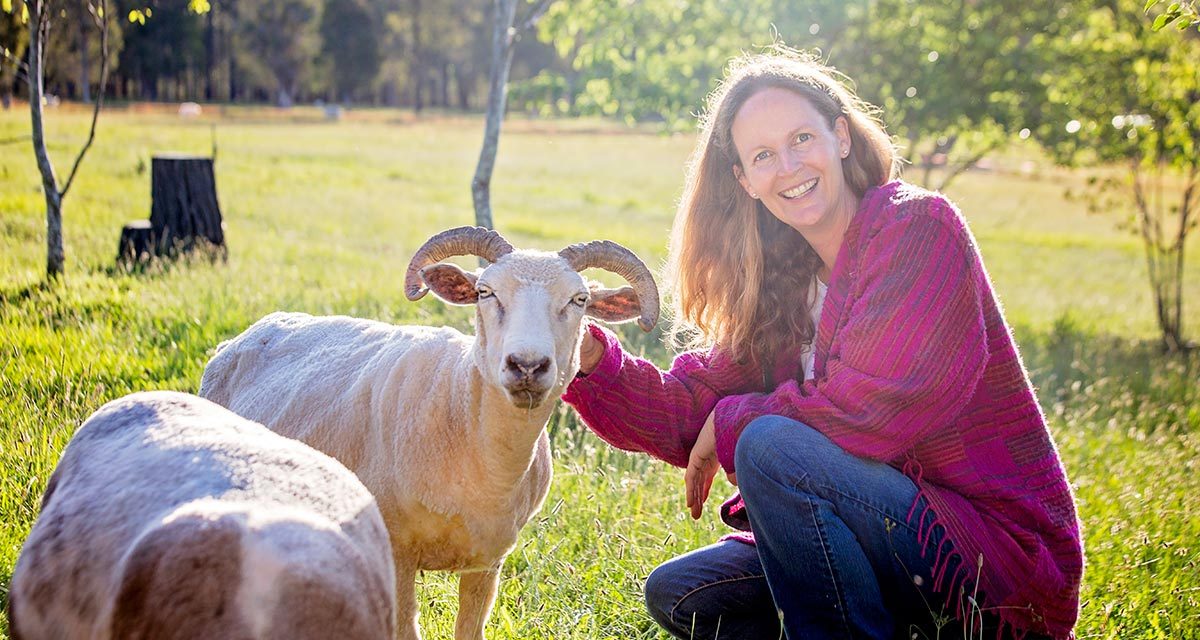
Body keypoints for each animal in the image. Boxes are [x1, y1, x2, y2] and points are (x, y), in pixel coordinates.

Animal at [200, 225, 662, 638]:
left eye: (579, 299)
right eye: (485, 292)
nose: (527, 365)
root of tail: (251, 331)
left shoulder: (487, 563)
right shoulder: (397, 551)